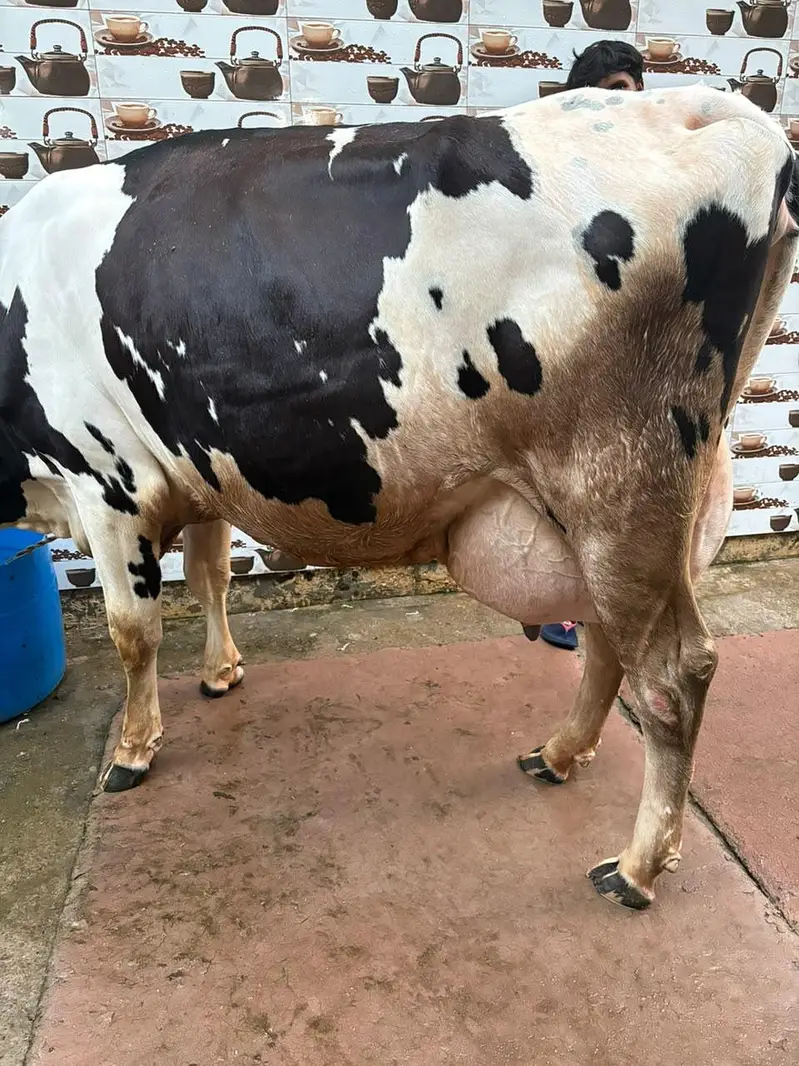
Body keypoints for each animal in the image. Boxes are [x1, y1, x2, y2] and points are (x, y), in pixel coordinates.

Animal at [1, 84, 796, 910]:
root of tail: (700, 108)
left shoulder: (106, 478)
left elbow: (132, 632)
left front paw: (131, 750)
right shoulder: (198, 469)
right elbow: (211, 575)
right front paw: (221, 672)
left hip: (618, 483)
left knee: (672, 673)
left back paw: (637, 866)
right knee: (611, 641)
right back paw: (557, 754)